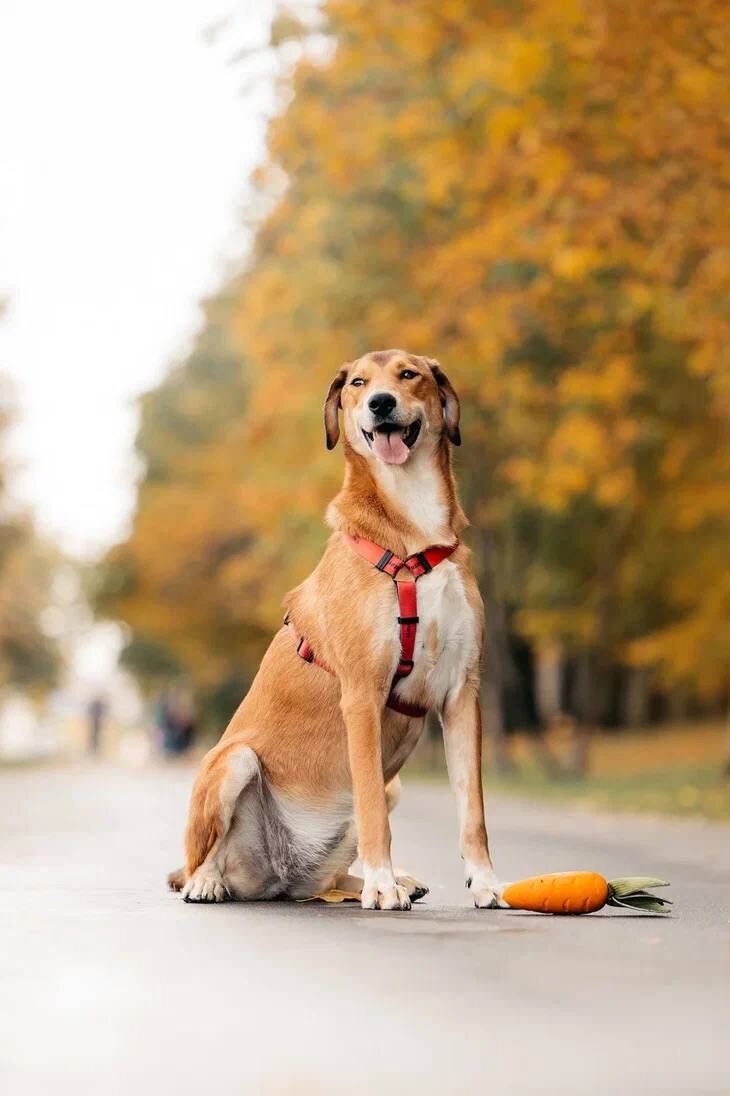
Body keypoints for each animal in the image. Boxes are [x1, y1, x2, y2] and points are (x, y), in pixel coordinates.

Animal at [168, 348, 499, 907]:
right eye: (358, 383)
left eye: (408, 374)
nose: (380, 402)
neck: (413, 538)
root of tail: (281, 879)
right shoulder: (363, 695)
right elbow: (371, 811)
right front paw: (383, 888)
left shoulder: (462, 693)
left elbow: (472, 812)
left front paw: (486, 883)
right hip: (234, 759)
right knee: (199, 861)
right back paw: (208, 882)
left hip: (386, 795)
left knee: (333, 880)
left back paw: (389, 881)